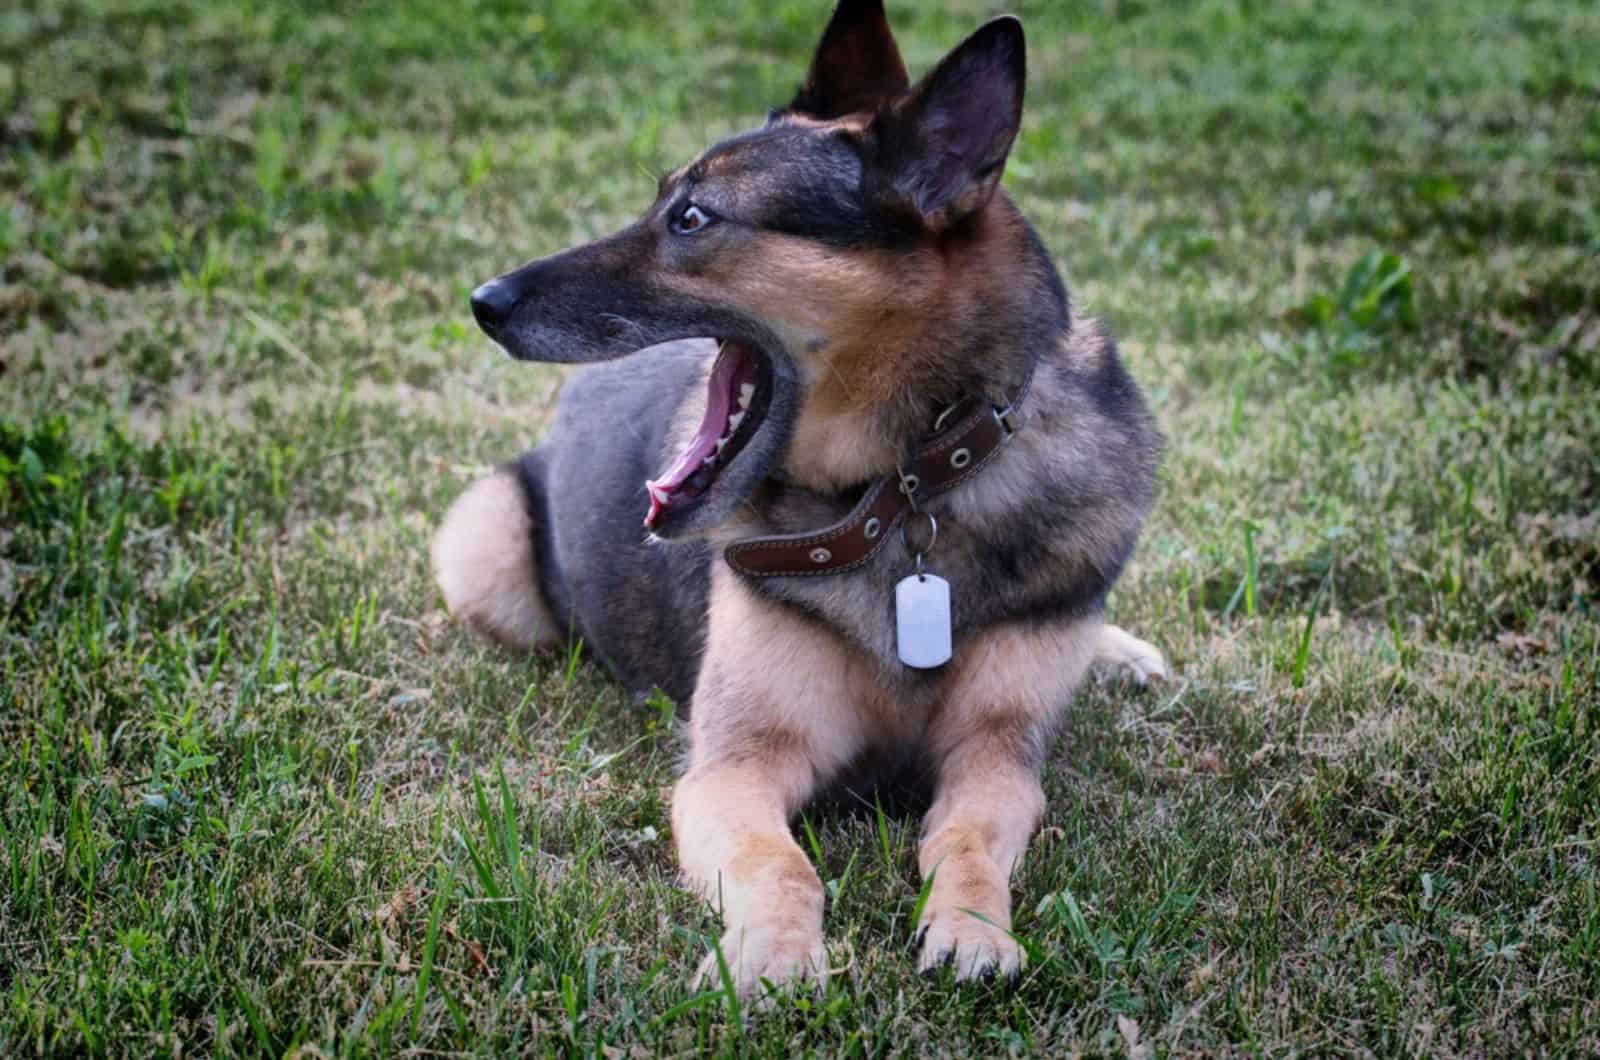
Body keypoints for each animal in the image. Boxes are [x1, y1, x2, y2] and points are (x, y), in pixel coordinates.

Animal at [435, 0, 1164, 999]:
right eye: (663, 201)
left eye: (692, 217)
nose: (484, 300)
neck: (902, 489)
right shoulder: (733, 771)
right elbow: (781, 865)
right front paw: (775, 954)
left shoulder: (996, 762)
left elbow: (967, 838)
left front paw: (972, 929)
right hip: (483, 550)